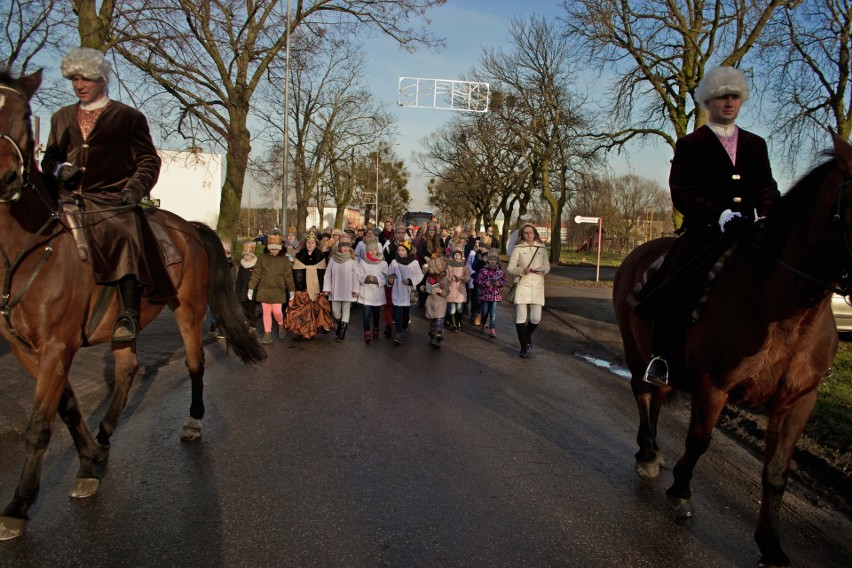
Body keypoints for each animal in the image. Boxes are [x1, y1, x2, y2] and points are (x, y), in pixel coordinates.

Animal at [0, 70, 264, 536]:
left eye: (21, 116)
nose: (6, 179)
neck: (32, 247)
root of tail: (188, 226)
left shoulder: (56, 345)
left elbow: (40, 424)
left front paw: (18, 504)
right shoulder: (27, 349)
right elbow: (67, 408)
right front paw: (88, 461)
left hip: (188, 308)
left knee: (193, 363)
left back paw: (192, 421)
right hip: (126, 320)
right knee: (127, 368)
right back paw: (104, 436)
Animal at [612, 134, 852, 568]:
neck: (785, 311)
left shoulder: (799, 400)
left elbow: (777, 472)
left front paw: (771, 545)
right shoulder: (713, 386)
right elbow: (698, 441)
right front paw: (680, 492)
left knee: (657, 396)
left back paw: (653, 451)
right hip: (637, 351)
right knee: (643, 393)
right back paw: (647, 455)